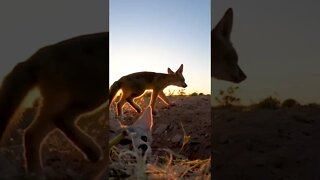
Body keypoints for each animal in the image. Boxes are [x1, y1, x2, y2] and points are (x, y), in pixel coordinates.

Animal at [0, 31, 109, 176]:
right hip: (94, 96)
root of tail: (43, 53)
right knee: (58, 119)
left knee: (31, 134)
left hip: (55, 106)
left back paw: (36, 174)